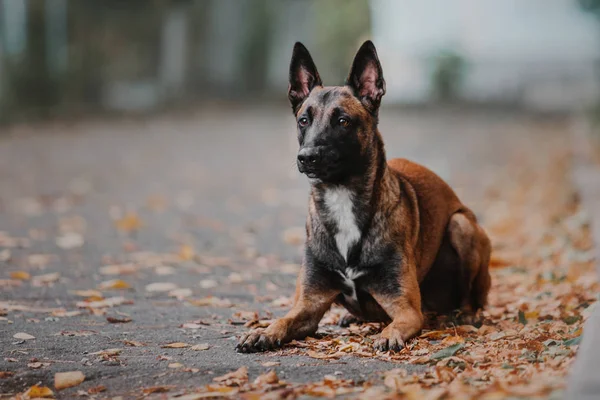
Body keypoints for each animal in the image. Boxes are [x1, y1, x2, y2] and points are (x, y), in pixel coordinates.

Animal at [237, 41, 490, 354]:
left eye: (343, 121)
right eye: (304, 120)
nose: (306, 157)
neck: (342, 198)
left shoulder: (407, 310)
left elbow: (397, 323)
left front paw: (388, 335)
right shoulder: (308, 304)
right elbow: (284, 320)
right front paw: (263, 332)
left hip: (461, 226)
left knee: (471, 297)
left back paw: (467, 314)